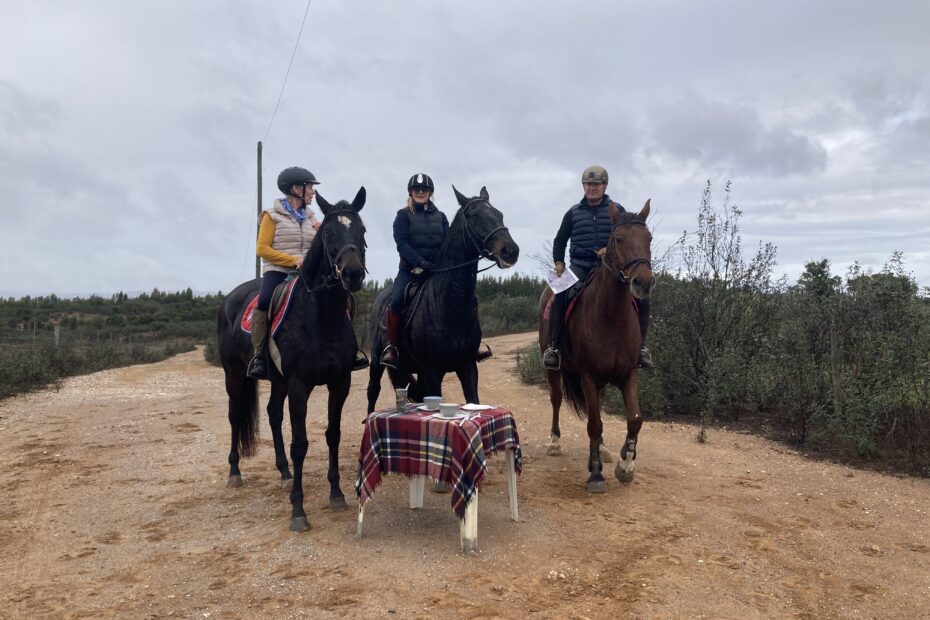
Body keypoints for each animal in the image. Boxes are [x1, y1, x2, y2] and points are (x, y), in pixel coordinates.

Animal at [216, 186, 364, 532]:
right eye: (328, 233)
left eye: (362, 231)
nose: (352, 274)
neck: (321, 316)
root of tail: (229, 299)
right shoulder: (299, 385)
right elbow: (301, 444)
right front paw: (298, 510)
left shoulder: (340, 383)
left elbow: (333, 435)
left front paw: (336, 493)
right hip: (235, 375)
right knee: (234, 416)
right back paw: (235, 473)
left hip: (278, 380)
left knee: (272, 414)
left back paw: (283, 472)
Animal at [366, 185, 520, 412]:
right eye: (474, 216)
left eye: (499, 214)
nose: (510, 251)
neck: (448, 304)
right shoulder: (432, 371)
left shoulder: (467, 367)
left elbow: (473, 399)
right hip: (377, 360)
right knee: (372, 392)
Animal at [536, 201, 652, 492]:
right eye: (618, 239)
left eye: (648, 238)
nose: (643, 283)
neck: (612, 317)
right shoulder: (588, 375)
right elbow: (594, 424)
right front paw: (597, 474)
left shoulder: (628, 374)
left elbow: (634, 419)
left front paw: (626, 465)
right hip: (554, 369)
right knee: (557, 398)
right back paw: (555, 442)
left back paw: (602, 450)